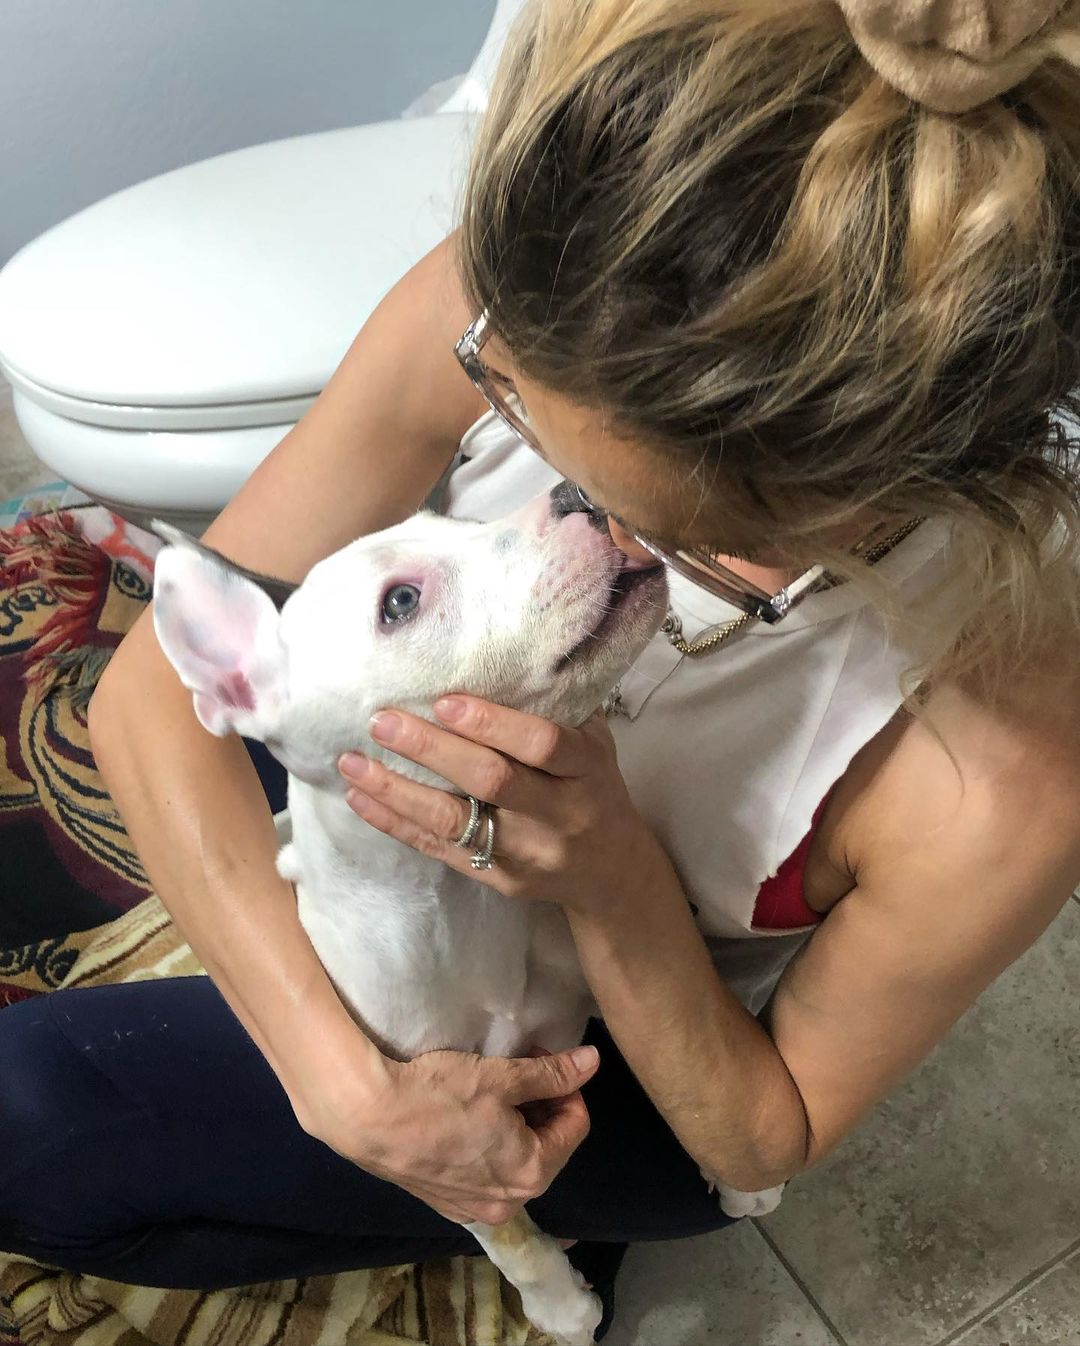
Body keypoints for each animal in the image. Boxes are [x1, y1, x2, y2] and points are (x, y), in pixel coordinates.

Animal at [149, 489, 775, 1346]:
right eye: (400, 604)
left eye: (457, 521)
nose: (576, 495)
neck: (464, 898)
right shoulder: (453, 1138)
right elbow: (512, 1238)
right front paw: (562, 1306)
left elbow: (676, 1042)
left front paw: (737, 1169)